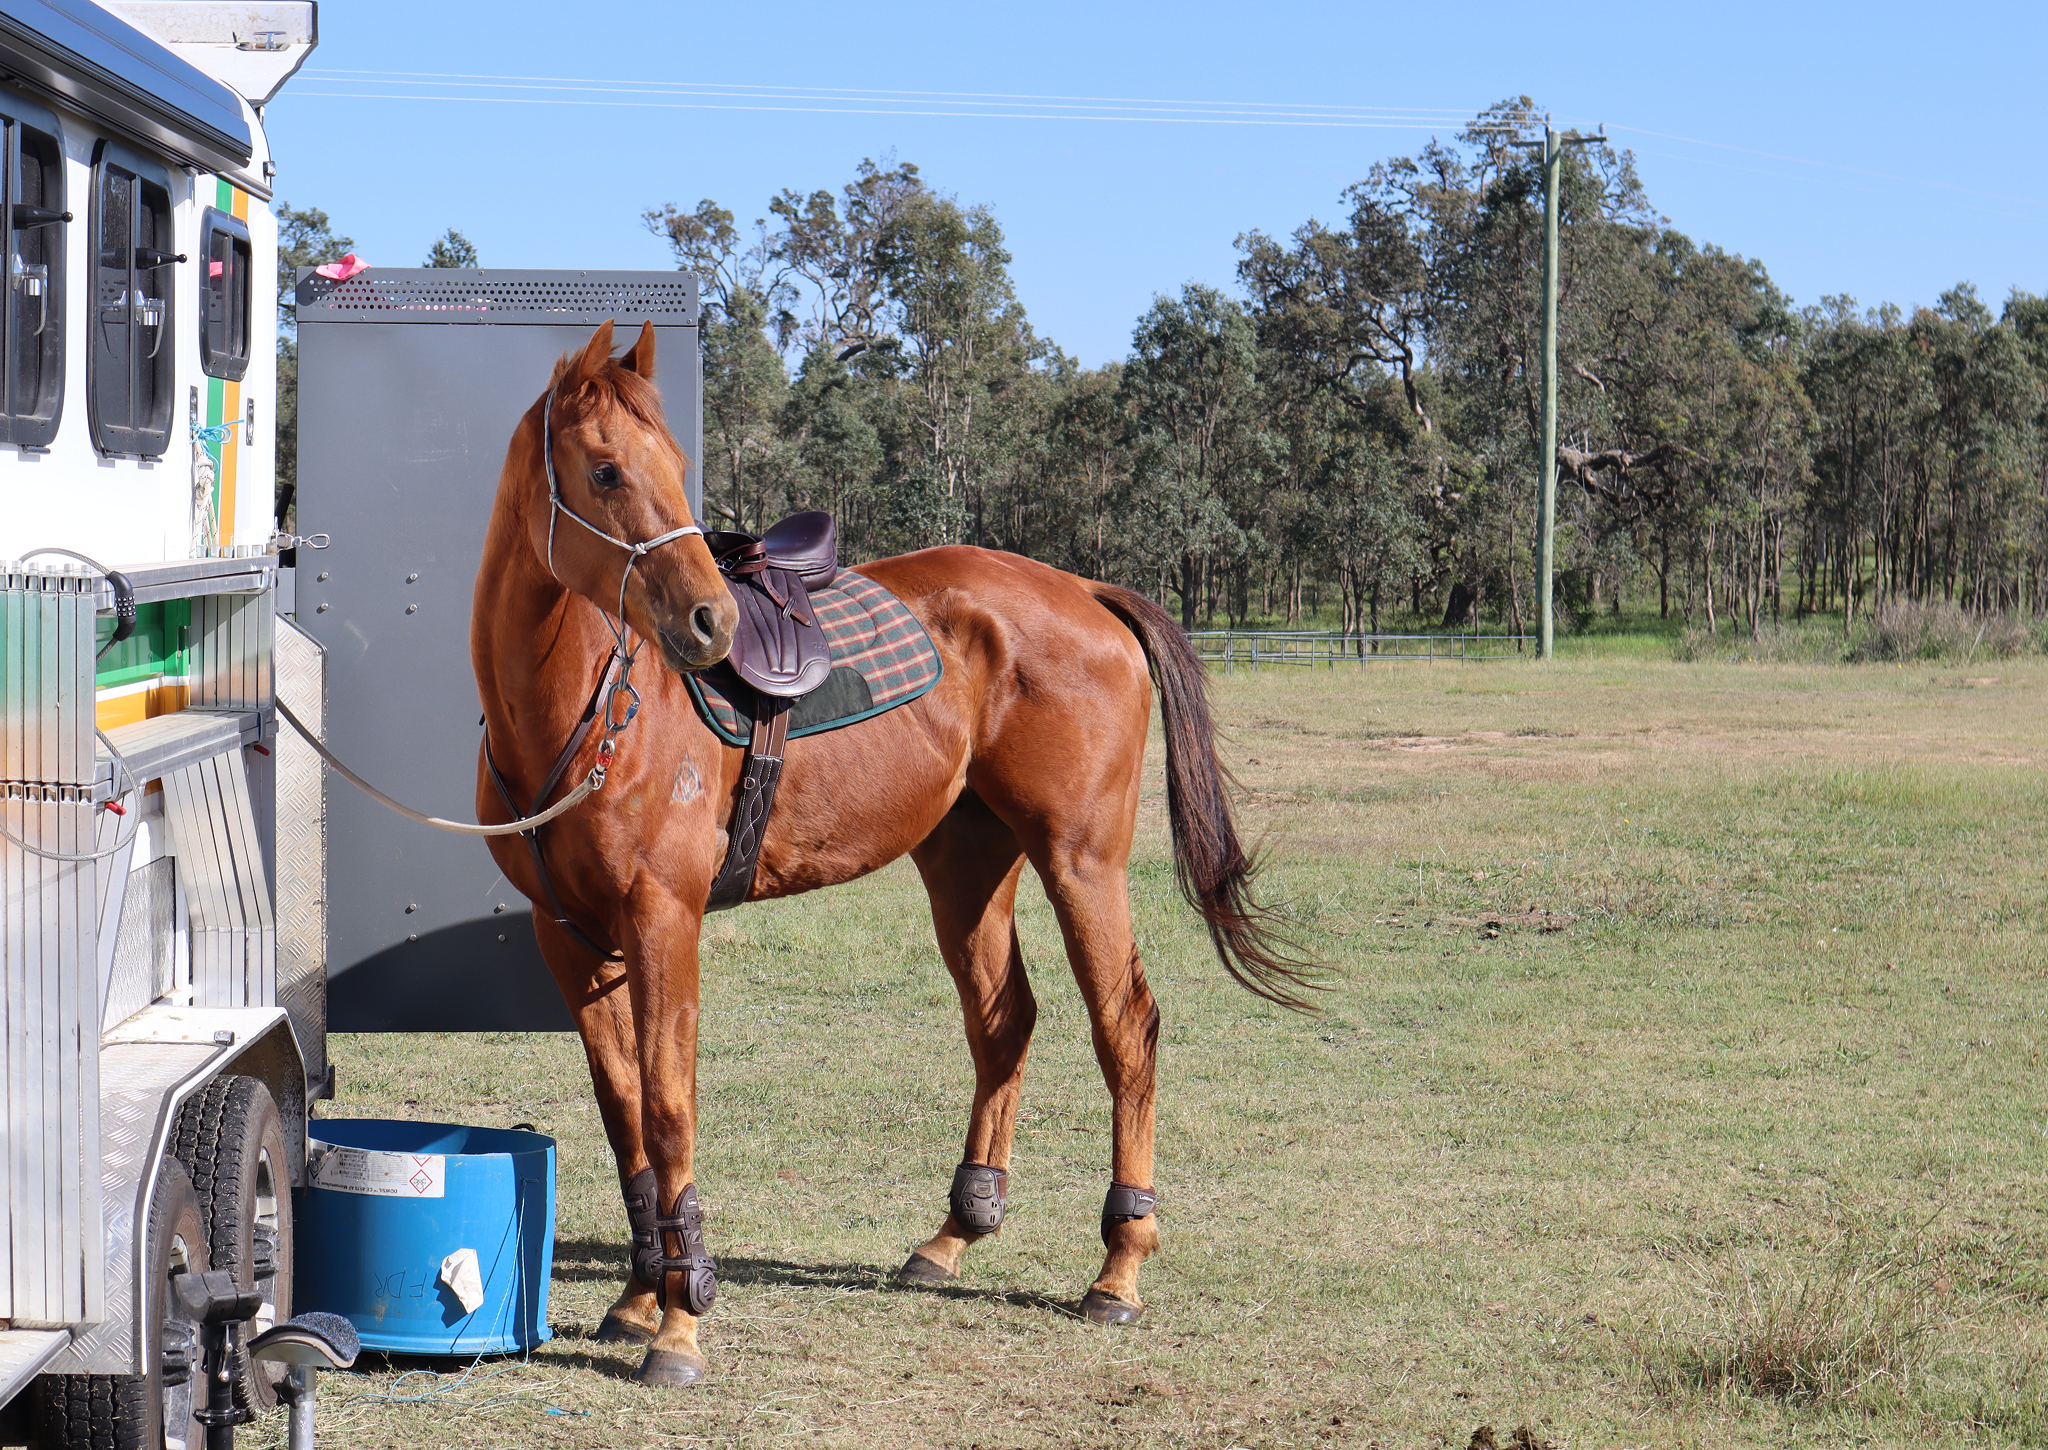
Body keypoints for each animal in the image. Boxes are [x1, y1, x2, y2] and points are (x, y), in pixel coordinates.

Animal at [471, 319, 1315, 1386]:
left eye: (674, 467)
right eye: (608, 470)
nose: (713, 623)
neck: (586, 711)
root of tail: (1082, 588)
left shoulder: (664, 920)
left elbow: (668, 1105)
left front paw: (680, 1320)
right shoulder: (573, 937)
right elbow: (623, 1107)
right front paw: (638, 1295)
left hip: (1080, 862)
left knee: (1125, 1027)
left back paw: (1118, 1268)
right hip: (967, 865)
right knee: (1004, 1023)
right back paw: (955, 1234)